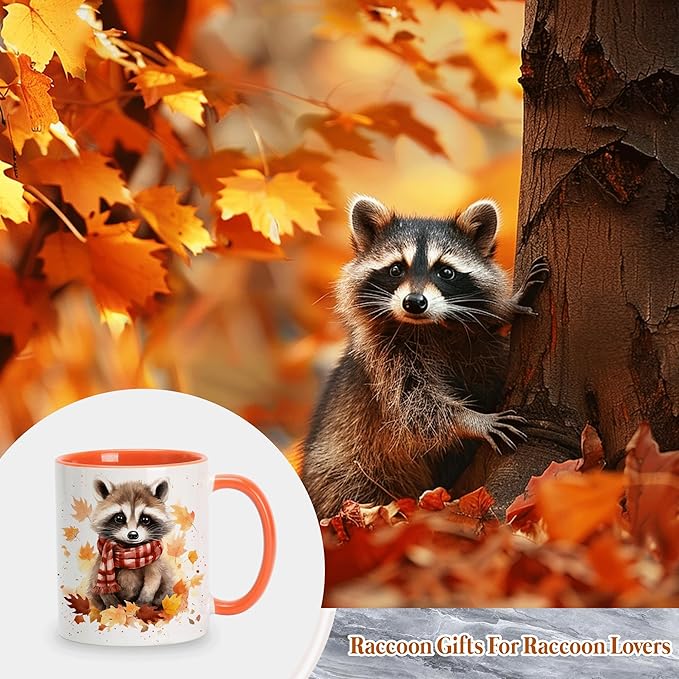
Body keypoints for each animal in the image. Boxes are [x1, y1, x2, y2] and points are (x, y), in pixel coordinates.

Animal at [87, 478, 175, 610]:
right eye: (119, 518)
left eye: (145, 519)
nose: (133, 535)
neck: (130, 550)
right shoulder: (100, 563)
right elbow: (99, 586)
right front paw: (113, 606)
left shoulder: (154, 563)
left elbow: (153, 580)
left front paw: (143, 603)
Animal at [302, 195, 548, 518]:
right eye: (396, 269)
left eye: (445, 271)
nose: (414, 303)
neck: (430, 326)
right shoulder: (385, 356)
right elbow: (414, 407)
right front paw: (470, 420)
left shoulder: (477, 345)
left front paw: (505, 308)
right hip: (344, 469)